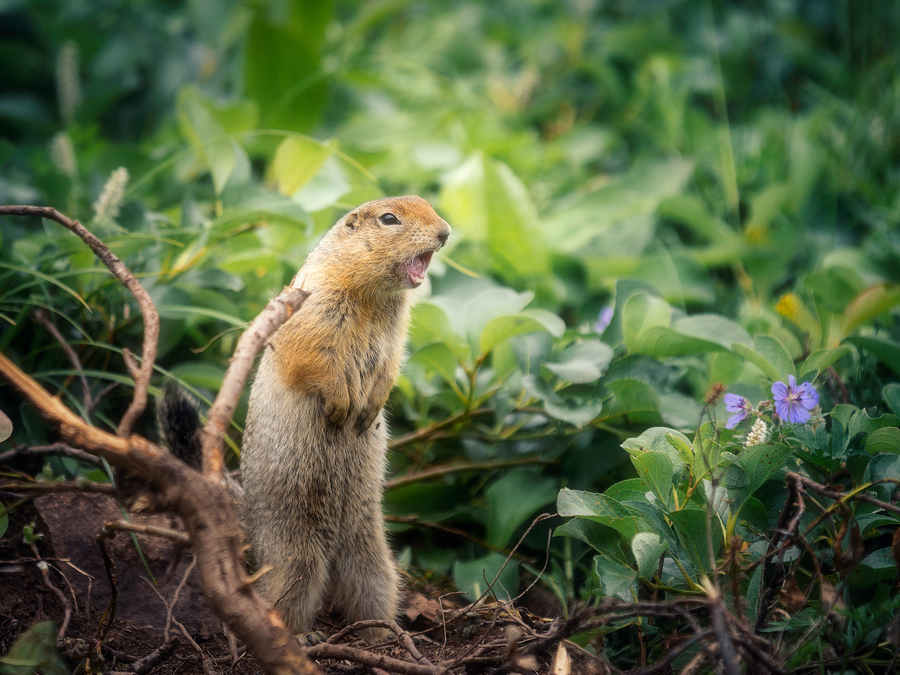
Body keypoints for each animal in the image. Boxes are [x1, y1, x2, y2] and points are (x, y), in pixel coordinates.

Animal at [241, 194, 448, 640]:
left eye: (427, 203)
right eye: (389, 219)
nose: (445, 232)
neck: (374, 296)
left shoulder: (395, 333)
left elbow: (390, 366)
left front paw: (369, 410)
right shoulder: (315, 307)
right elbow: (316, 359)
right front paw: (341, 408)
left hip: (372, 554)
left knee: (370, 586)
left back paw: (382, 633)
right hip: (294, 554)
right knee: (283, 593)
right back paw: (304, 635)